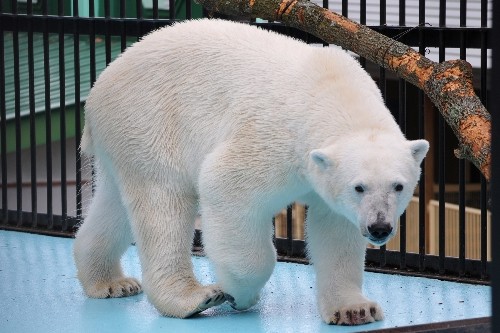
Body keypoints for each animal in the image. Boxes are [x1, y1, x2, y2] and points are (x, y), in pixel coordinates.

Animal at [74, 18, 430, 324]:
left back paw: (110, 282)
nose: (379, 227)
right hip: (149, 121)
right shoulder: (275, 138)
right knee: (164, 204)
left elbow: (335, 229)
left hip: (123, 139)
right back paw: (193, 298)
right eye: (359, 187)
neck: (331, 91)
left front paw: (354, 310)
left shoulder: (326, 181)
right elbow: (224, 185)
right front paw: (239, 293)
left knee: (114, 205)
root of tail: (97, 91)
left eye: (398, 186)